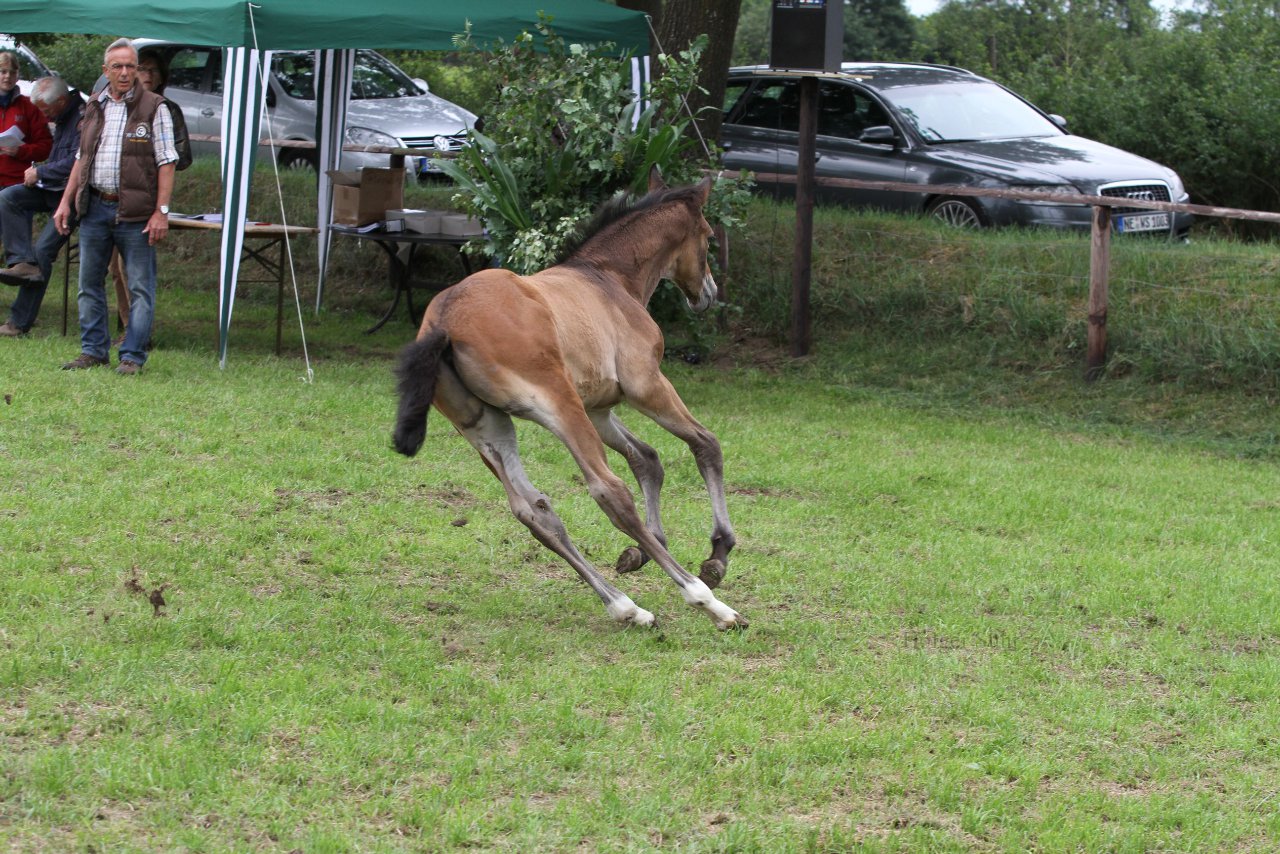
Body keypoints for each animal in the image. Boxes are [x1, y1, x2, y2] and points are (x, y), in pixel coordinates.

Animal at [394, 171, 747, 627]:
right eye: (707, 236)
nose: (708, 293)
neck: (609, 280)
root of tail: (444, 319)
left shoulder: (599, 408)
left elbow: (647, 459)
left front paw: (643, 551)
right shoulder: (646, 385)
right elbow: (705, 444)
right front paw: (717, 555)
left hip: (487, 427)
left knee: (532, 510)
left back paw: (626, 607)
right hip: (560, 407)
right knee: (609, 492)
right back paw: (708, 604)